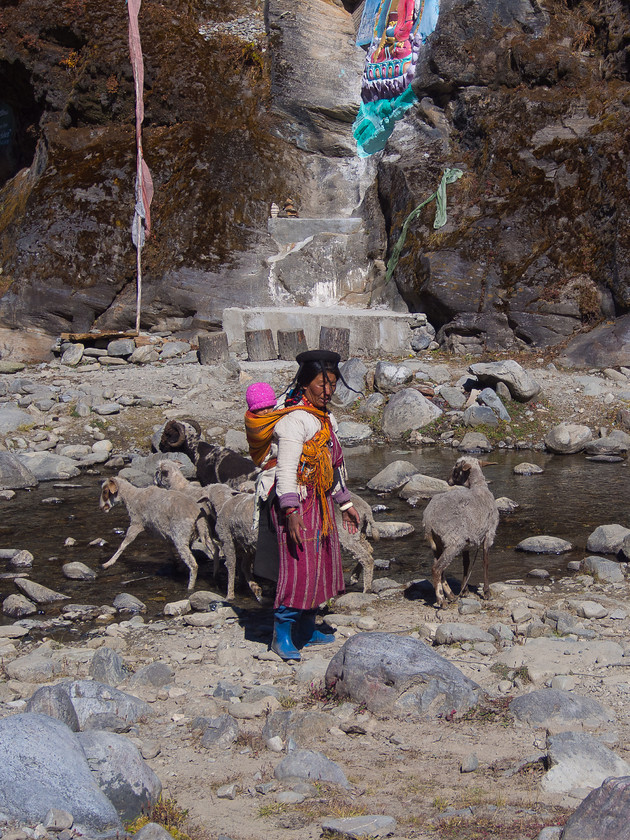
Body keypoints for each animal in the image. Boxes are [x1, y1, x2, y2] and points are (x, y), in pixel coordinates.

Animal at [422, 456, 502, 608]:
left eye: (456, 467)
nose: (447, 480)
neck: (479, 486)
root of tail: (428, 521)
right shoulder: (489, 534)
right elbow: (485, 562)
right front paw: (487, 592)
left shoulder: (467, 542)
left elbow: (466, 563)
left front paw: (464, 590)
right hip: (454, 541)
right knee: (437, 568)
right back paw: (442, 600)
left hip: (437, 545)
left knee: (441, 570)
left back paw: (452, 596)